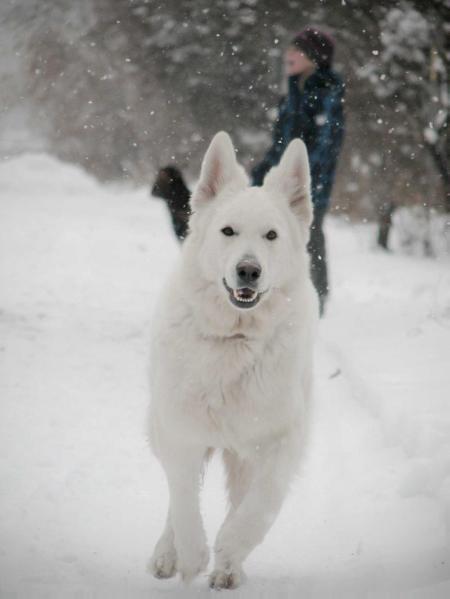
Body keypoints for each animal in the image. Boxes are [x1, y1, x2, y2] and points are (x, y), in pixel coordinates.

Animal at [148, 132, 316, 592]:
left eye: (271, 235)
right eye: (228, 231)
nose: (248, 270)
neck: (235, 340)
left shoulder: (280, 439)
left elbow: (260, 507)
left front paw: (228, 552)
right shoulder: (180, 429)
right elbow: (183, 498)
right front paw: (190, 555)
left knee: (243, 497)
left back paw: (229, 567)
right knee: (175, 496)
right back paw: (167, 555)